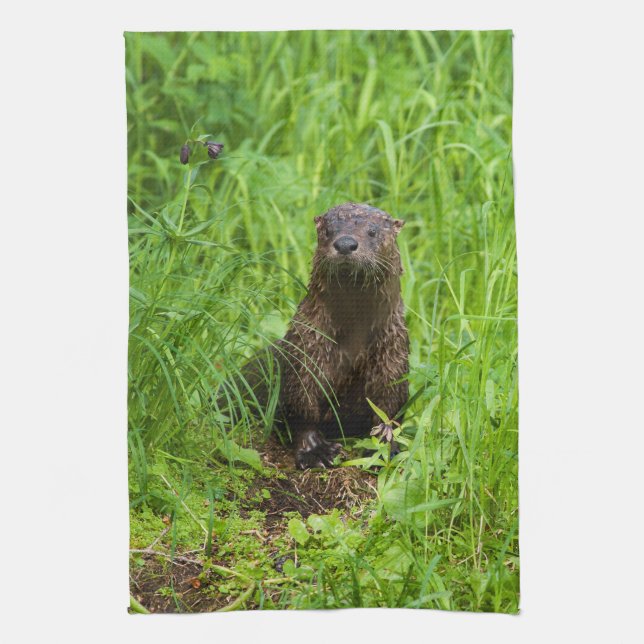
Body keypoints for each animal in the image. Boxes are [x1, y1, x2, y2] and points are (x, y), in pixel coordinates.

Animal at [272, 202, 409, 469]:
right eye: (328, 231)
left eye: (372, 231)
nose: (345, 243)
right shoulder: (306, 350)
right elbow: (301, 404)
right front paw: (315, 451)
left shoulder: (394, 356)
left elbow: (389, 408)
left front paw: (385, 447)